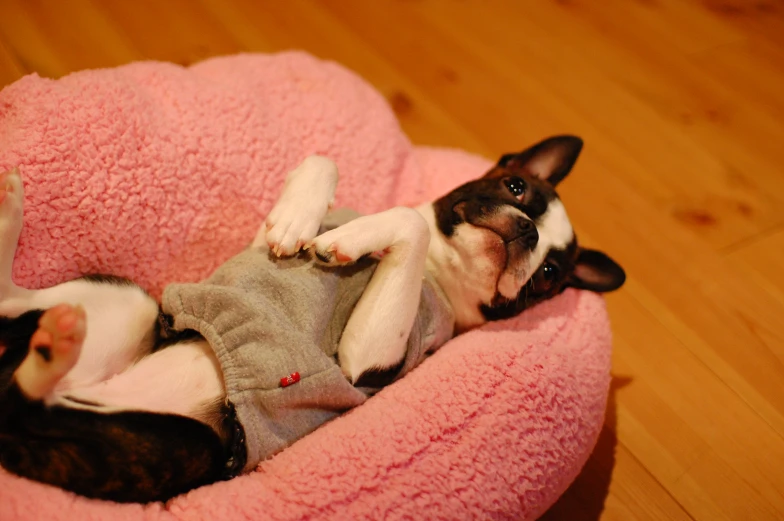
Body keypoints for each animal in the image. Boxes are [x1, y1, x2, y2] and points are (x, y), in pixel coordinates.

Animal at [0, 134, 624, 500]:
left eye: (550, 275)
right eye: (515, 186)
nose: (529, 232)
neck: (438, 272)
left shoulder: (370, 362)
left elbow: (407, 222)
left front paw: (348, 241)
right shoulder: (259, 245)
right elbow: (324, 165)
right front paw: (303, 219)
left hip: (176, 443)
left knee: (22, 401)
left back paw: (49, 351)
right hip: (124, 305)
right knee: (11, 308)